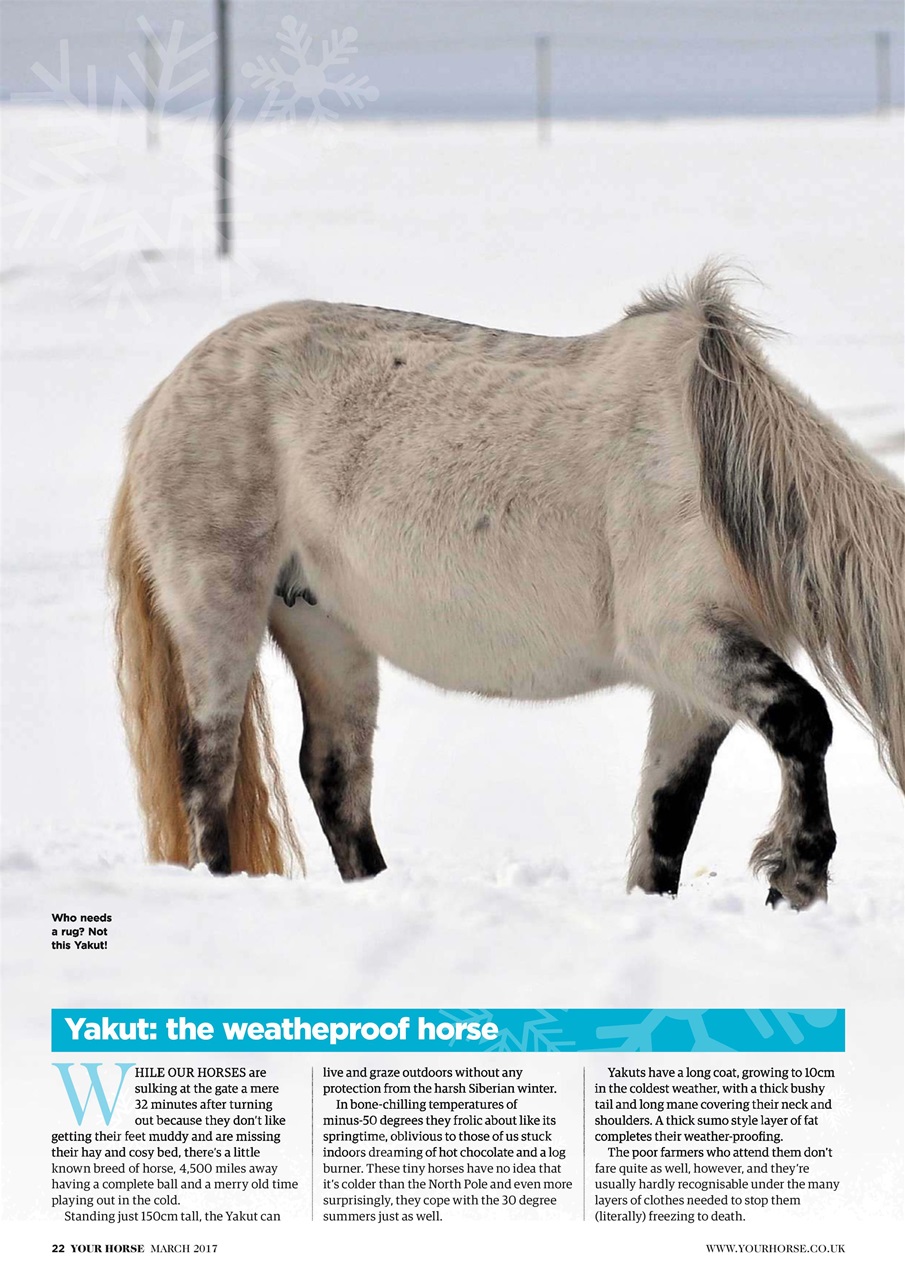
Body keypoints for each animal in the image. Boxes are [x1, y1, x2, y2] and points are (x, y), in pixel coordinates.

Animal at [109, 266, 905, 909]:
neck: (716, 474)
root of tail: (161, 399)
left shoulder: (693, 689)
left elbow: (666, 820)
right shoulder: (680, 643)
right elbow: (803, 720)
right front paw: (797, 878)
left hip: (325, 628)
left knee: (335, 775)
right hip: (219, 611)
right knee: (207, 766)